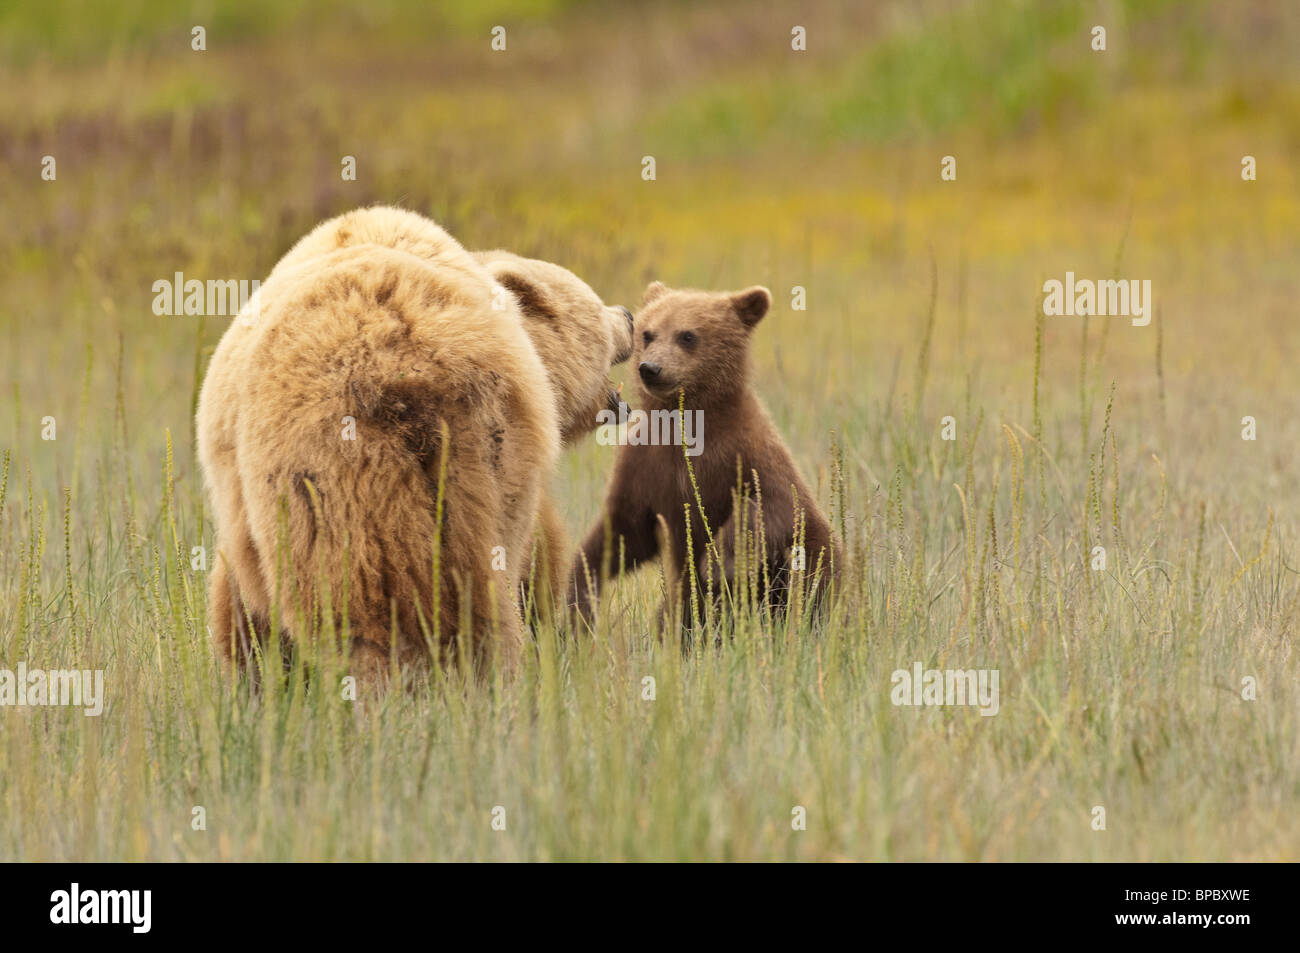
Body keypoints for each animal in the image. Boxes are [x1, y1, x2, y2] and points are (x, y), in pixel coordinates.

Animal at [571, 280, 841, 630]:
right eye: (648, 334)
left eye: (687, 335)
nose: (650, 368)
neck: (688, 422)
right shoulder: (646, 466)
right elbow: (622, 531)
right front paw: (579, 584)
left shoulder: (742, 452)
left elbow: (772, 504)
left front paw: (719, 562)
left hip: (813, 561)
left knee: (816, 582)